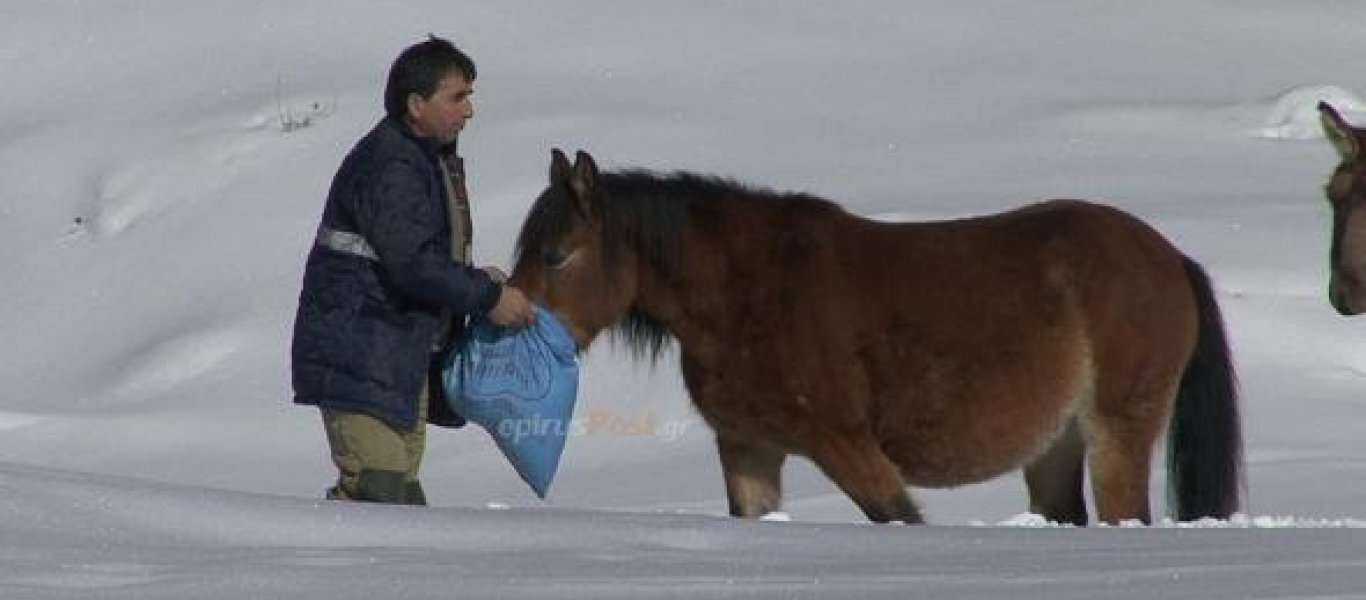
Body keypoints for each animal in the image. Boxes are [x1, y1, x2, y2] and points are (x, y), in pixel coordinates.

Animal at [508, 148, 1245, 524]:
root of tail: (1171, 259)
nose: (505, 318)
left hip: (1117, 431)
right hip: (1055, 448)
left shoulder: (846, 445)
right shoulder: (748, 449)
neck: (748, 290)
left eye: (555, 256)